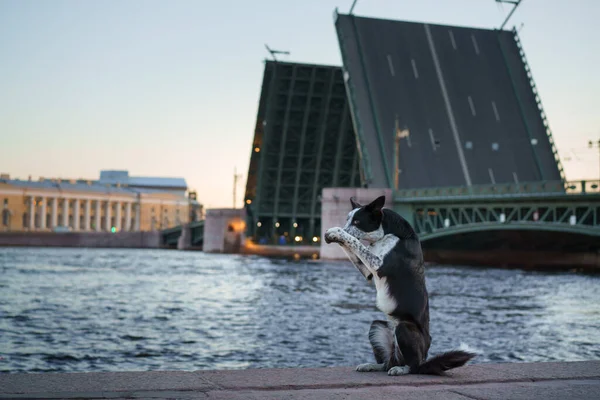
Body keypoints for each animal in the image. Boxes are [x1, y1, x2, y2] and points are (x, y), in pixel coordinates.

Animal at [326, 195, 476, 376]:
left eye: (356, 221)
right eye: (347, 219)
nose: (343, 228)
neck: (388, 233)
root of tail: (425, 357)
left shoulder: (378, 264)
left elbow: (355, 241)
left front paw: (336, 232)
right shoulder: (369, 272)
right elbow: (352, 247)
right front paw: (335, 235)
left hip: (404, 329)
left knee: (413, 366)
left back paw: (402, 369)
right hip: (377, 326)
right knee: (387, 363)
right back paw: (373, 365)